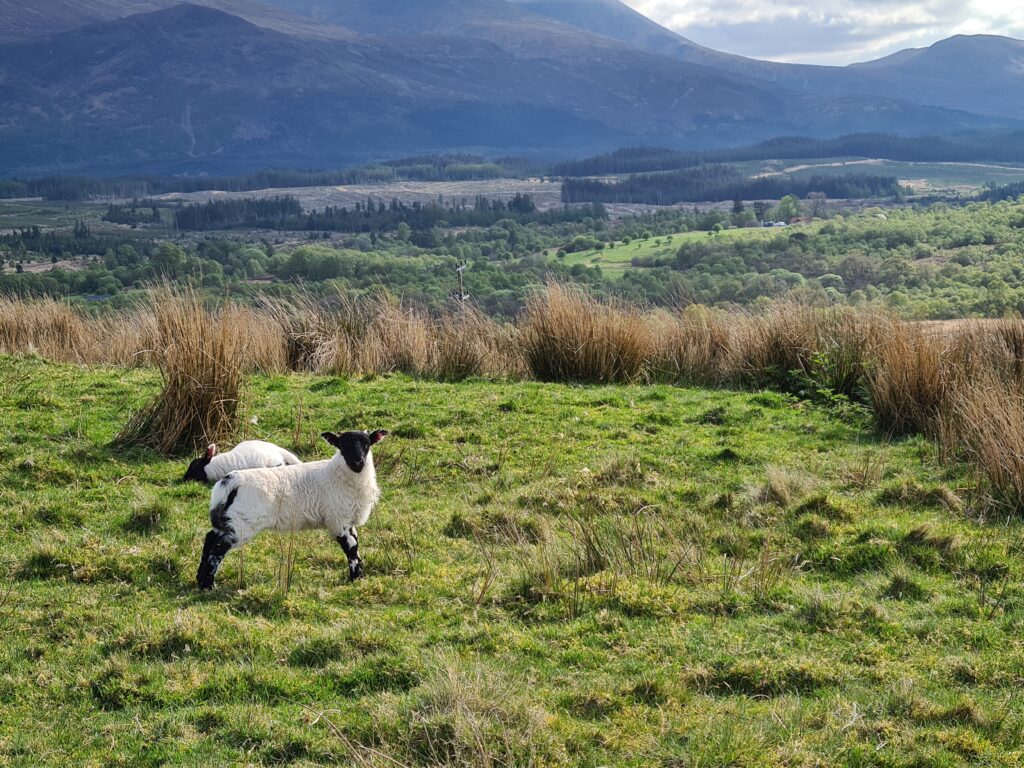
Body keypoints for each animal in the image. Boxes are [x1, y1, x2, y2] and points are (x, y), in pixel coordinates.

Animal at [196, 428, 388, 589]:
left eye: (367, 444)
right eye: (342, 446)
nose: (358, 461)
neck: (339, 475)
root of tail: (229, 482)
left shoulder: (347, 520)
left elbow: (355, 547)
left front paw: (359, 577)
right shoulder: (339, 519)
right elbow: (352, 549)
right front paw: (355, 578)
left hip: (226, 520)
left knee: (210, 539)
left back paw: (200, 579)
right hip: (242, 524)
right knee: (218, 548)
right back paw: (208, 585)